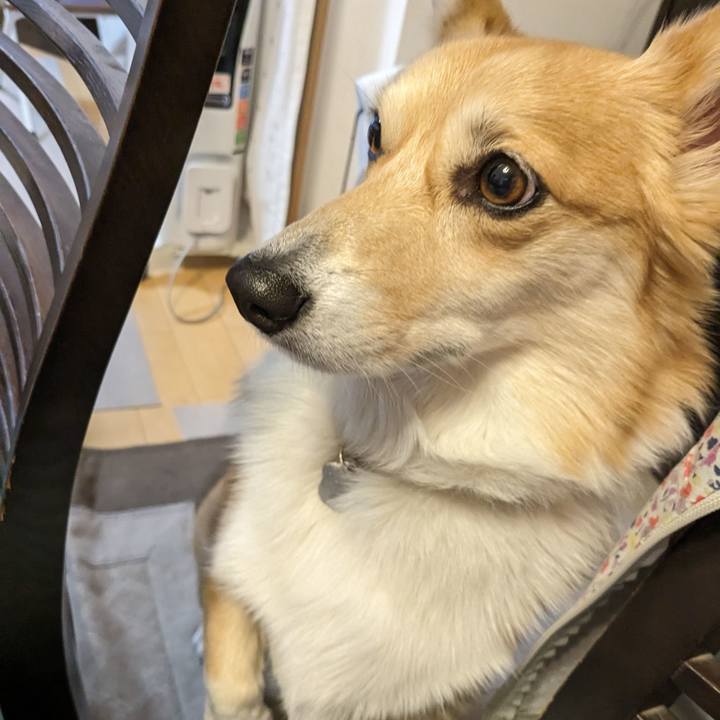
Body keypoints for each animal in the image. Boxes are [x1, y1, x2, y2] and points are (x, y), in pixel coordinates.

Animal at [199, 2, 720, 718]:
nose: (250, 291)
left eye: (503, 181)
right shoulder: (229, 569)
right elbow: (232, 683)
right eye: (375, 134)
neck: (384, 456)